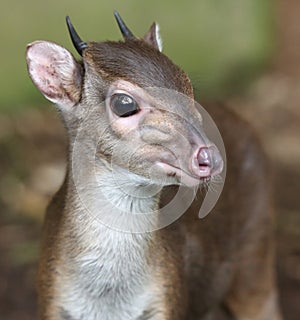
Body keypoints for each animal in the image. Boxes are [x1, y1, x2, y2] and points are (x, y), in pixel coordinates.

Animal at [25, 11, 282, 320]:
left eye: (187, 86)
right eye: (124, 103)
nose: (209, 157)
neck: (109, 303)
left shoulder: (169, 299)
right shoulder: (50, 301)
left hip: (257, 250)